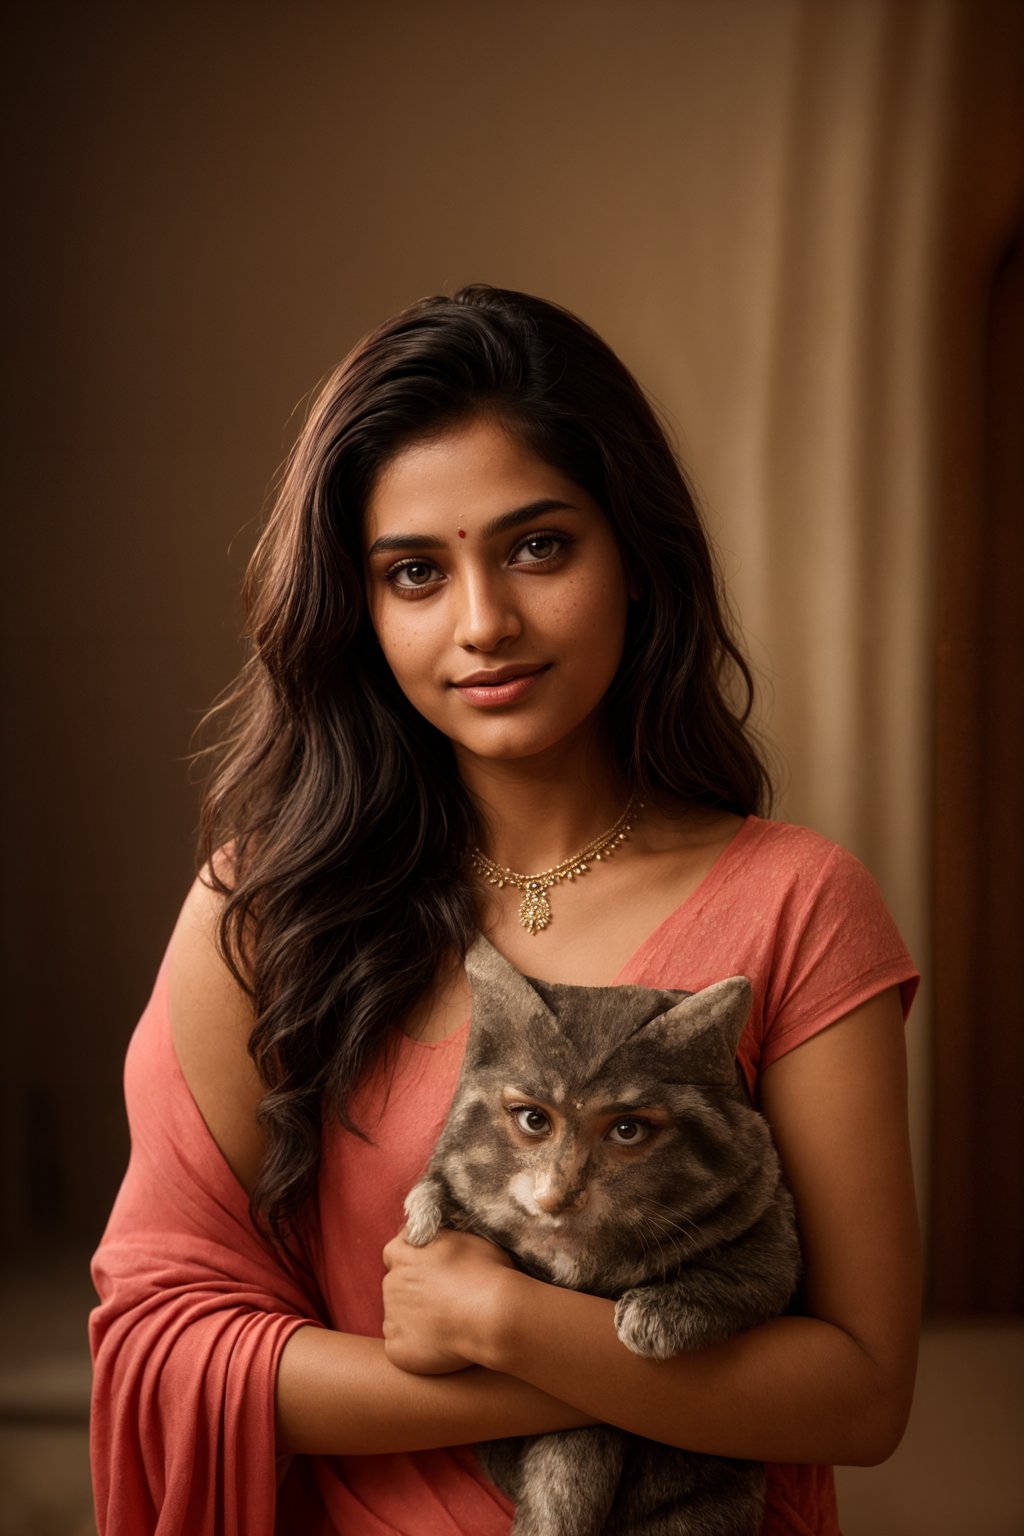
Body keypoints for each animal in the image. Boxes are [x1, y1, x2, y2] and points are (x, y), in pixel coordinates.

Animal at [405, 933, 804, 1536]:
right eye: (533, 1120)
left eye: (627, 1130)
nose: (559, 1195)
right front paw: (428, 1208)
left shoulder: (770, 1221)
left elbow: (745, 1271)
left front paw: (654, 1316)